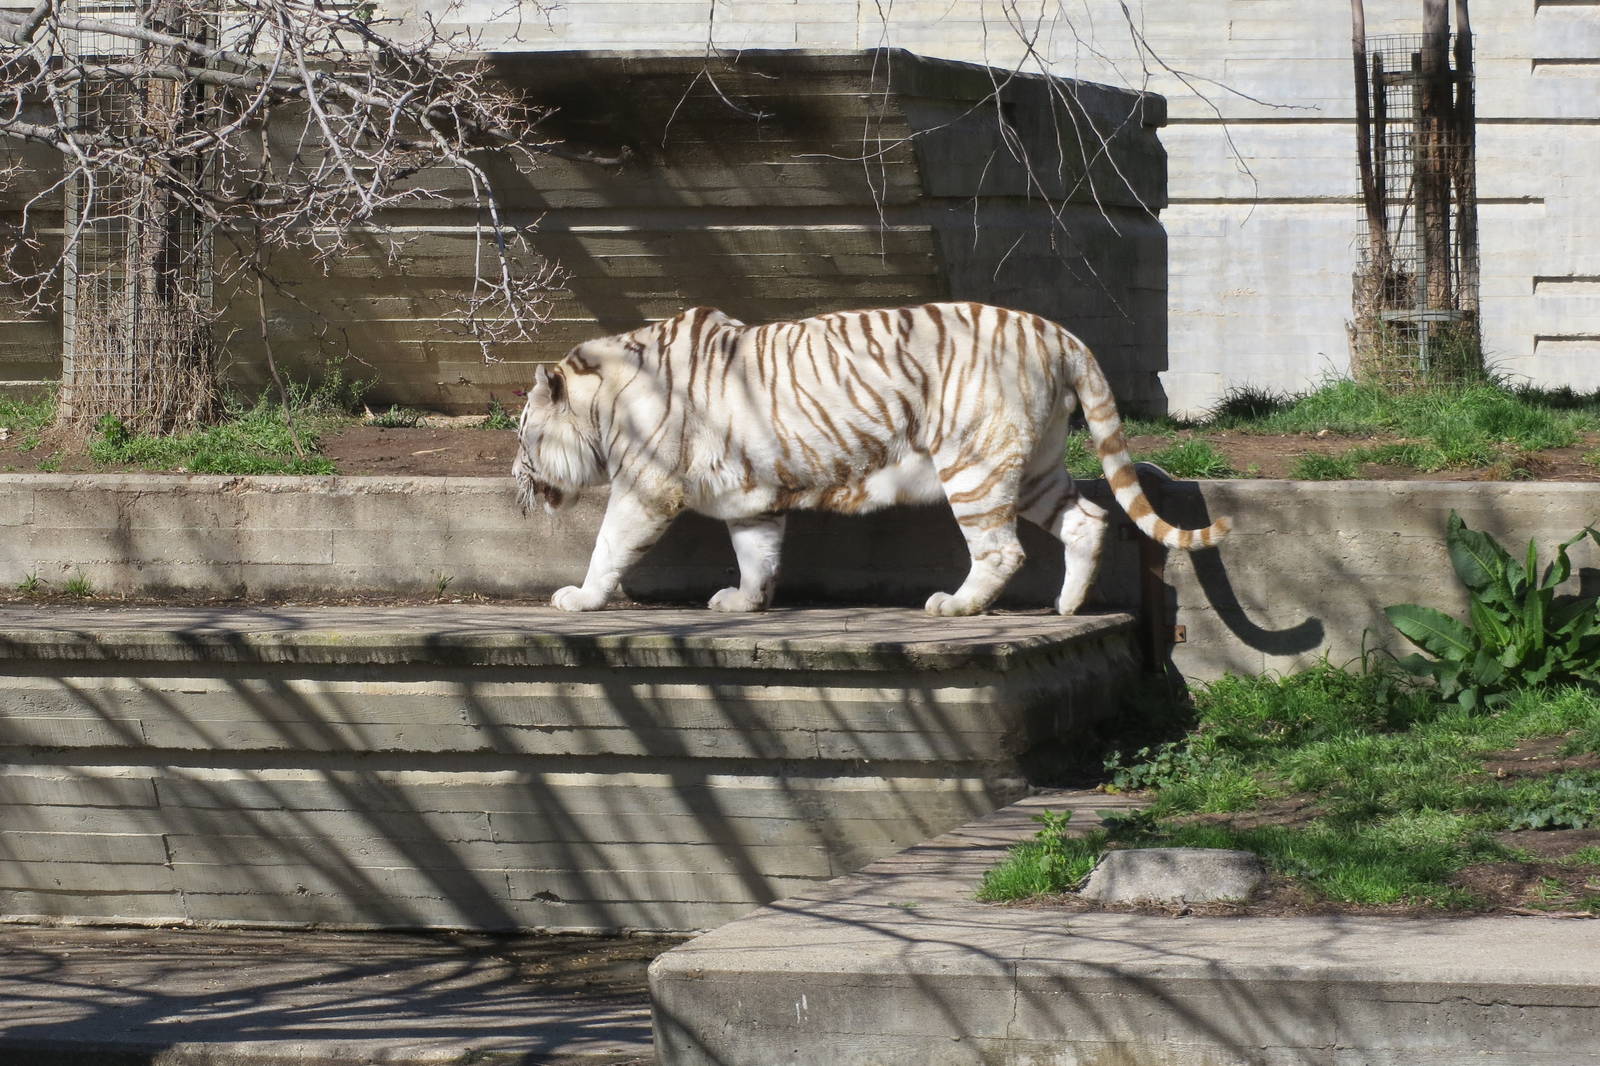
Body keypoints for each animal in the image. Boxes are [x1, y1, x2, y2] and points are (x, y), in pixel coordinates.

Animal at [513, 302, 1229, 616]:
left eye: (521, 438)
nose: (515, 487)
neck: (604, 400)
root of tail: (1059, 333)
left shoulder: (645, 486)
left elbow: (609, 543)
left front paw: (578, 597)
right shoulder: (750, 494)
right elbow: (757, 553)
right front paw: (745, 601)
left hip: (974, 463)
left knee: (1003, 551)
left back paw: (957, 605)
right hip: (1032, 468)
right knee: (1087, 519)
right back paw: (1069, 605)